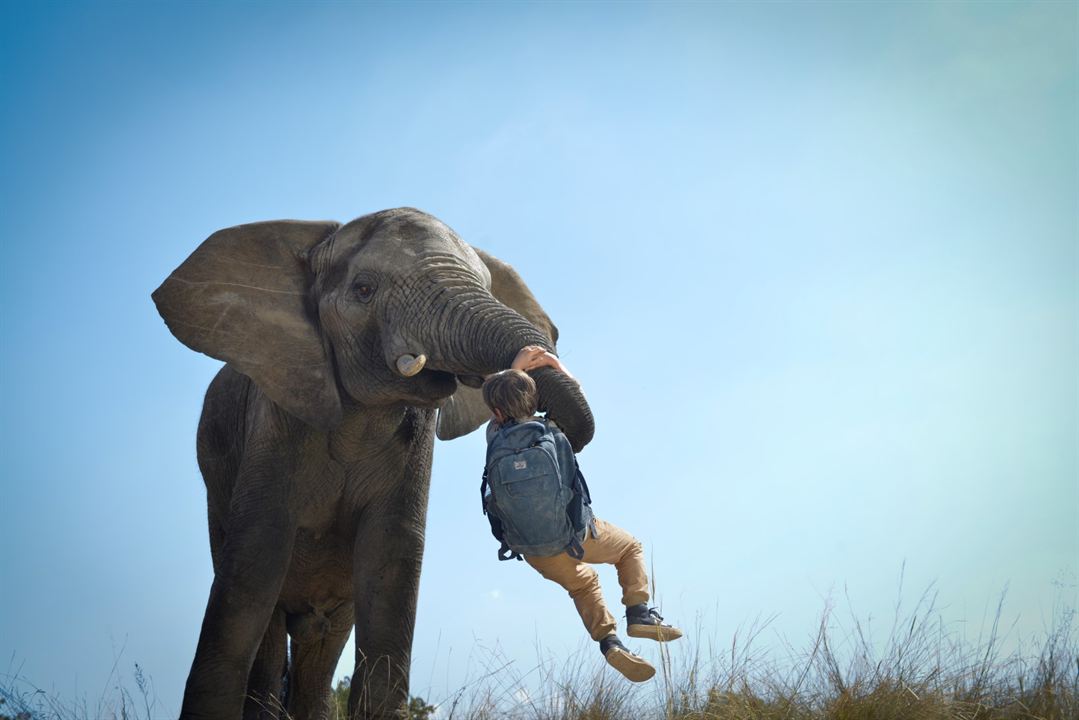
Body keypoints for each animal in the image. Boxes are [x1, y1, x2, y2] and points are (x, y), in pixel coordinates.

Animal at [152, 208, 595, 720]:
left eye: (485, 286)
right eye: (363, 289)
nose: (535, 362)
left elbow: (392, 554)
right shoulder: (274, 414)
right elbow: (255, 554)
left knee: (324, 645)